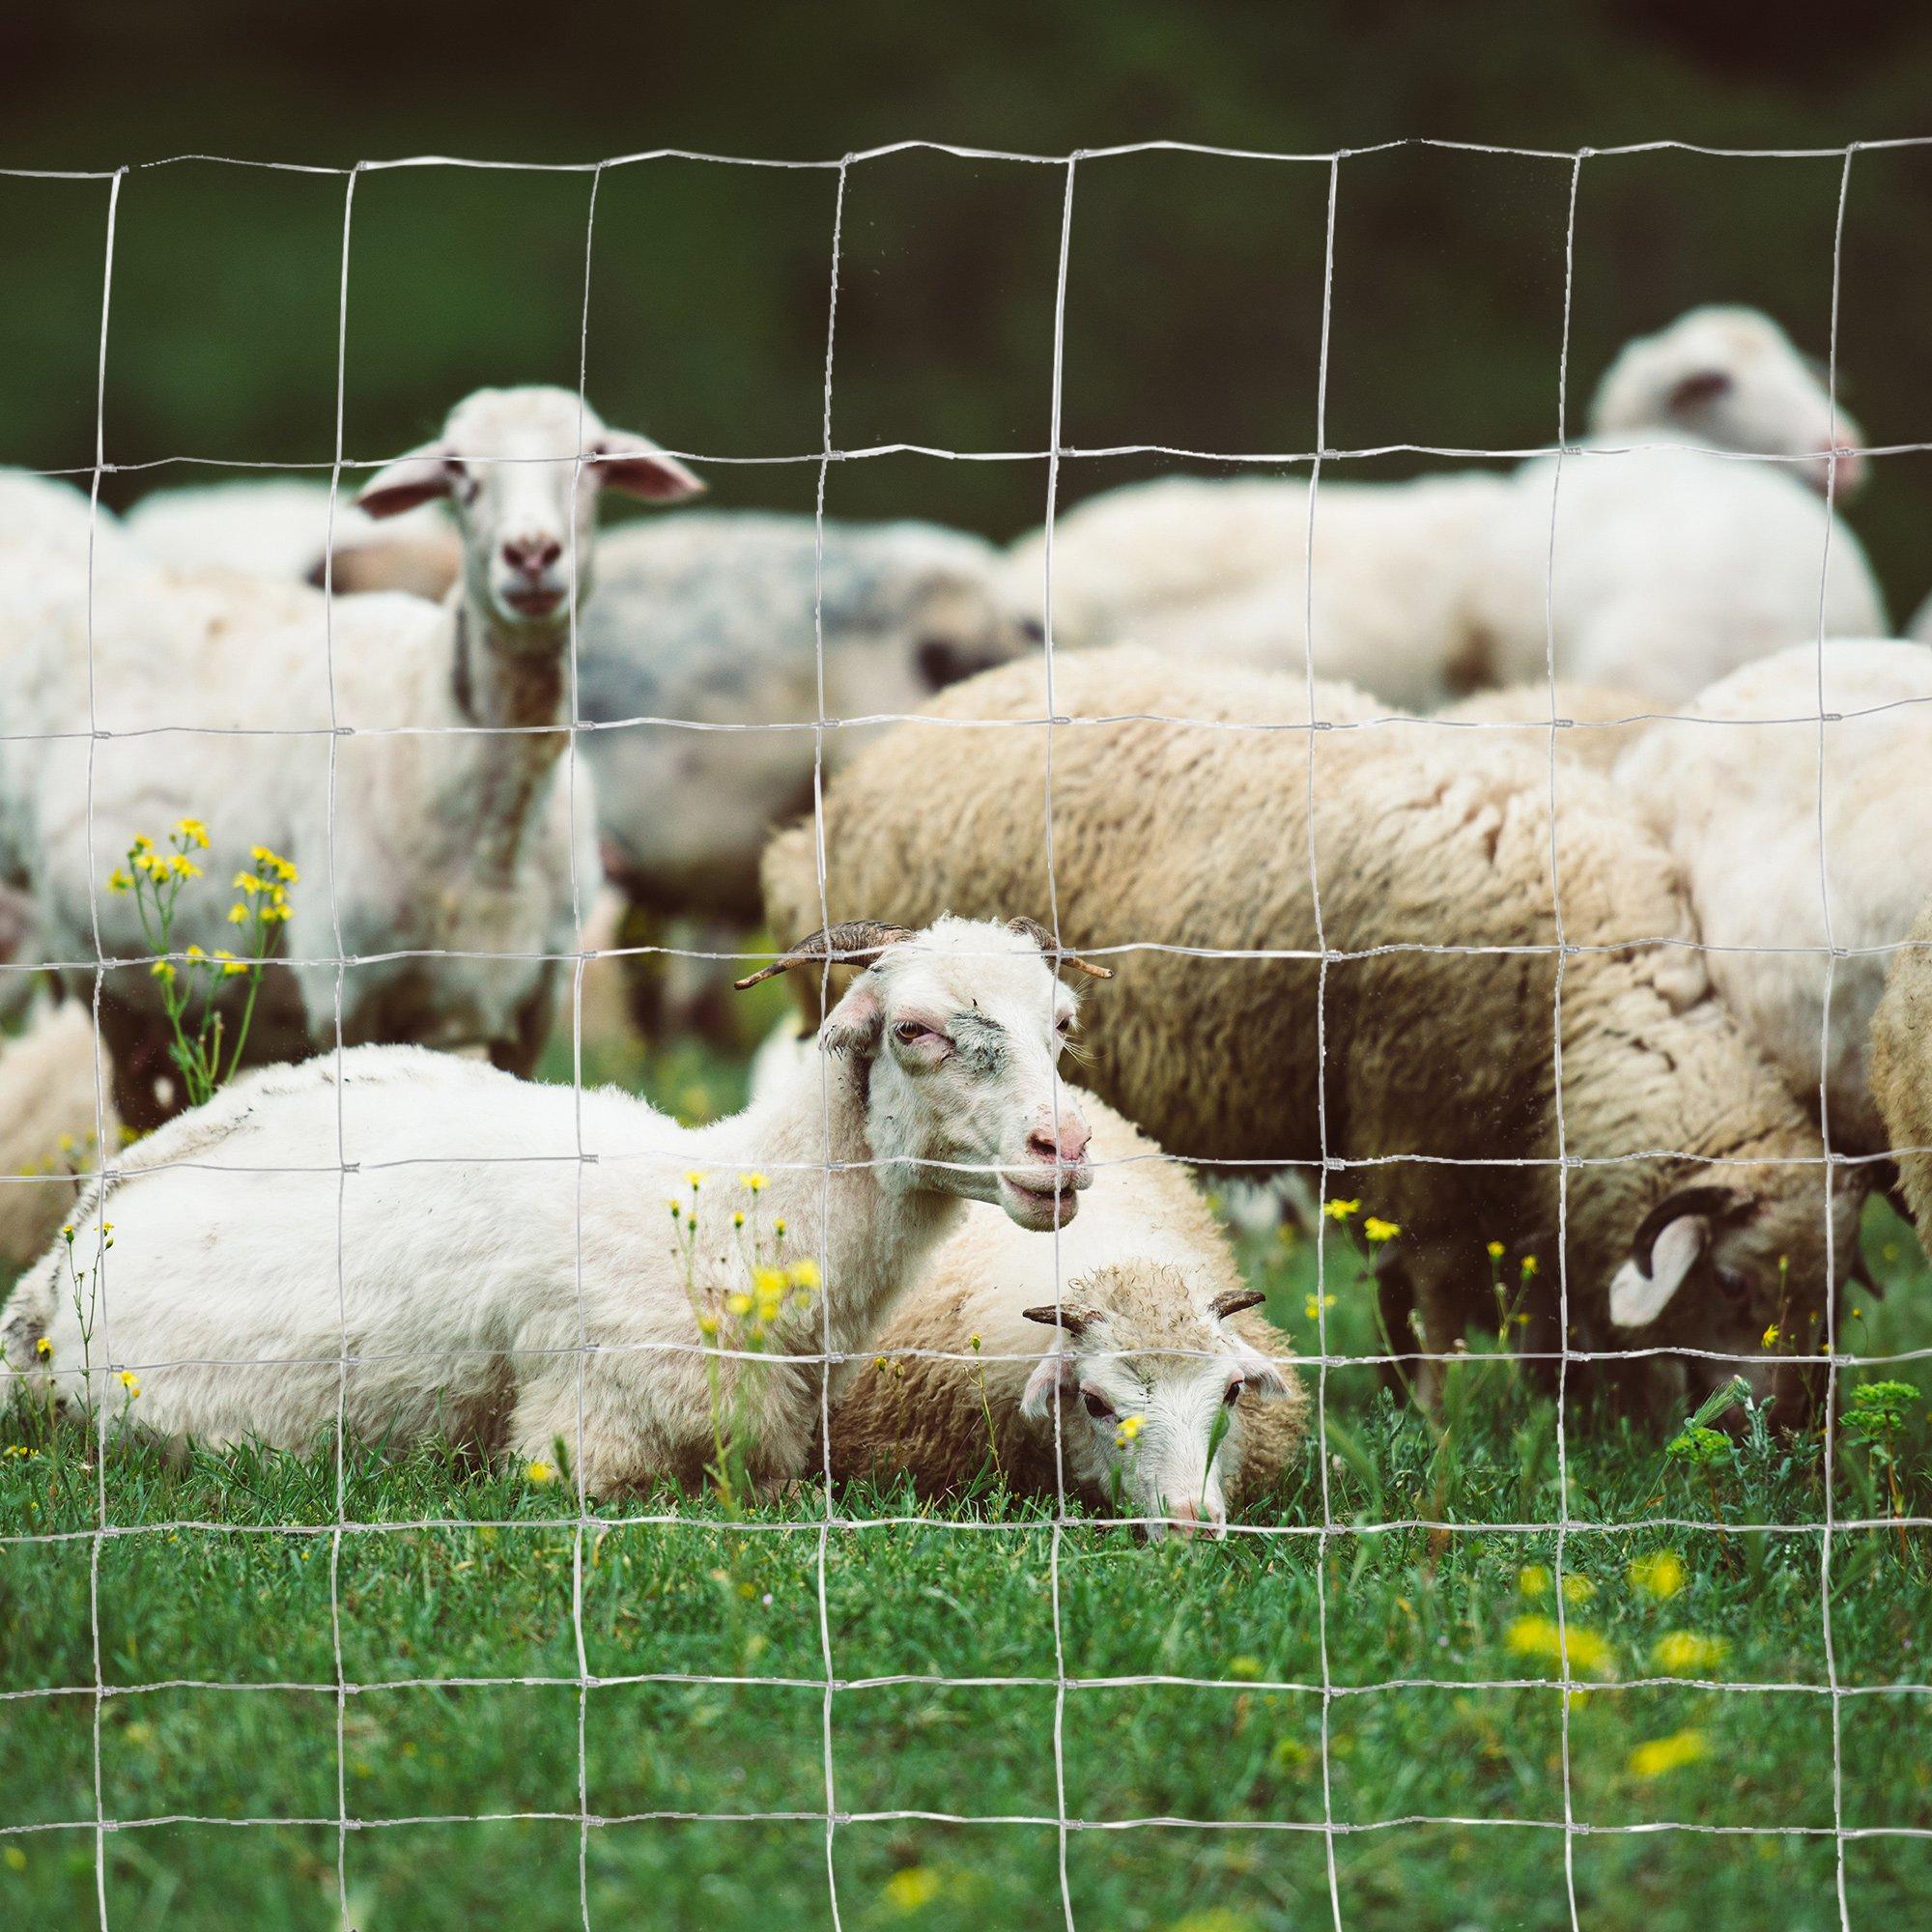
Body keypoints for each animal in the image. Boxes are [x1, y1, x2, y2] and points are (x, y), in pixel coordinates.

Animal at [0, 383, 707, 1128]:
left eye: (594, 459)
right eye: (459, 471)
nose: (532, 554)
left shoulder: (534, 1001)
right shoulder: (350, 995)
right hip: (103, 981)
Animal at [3, 920, 1105, 1492]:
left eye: (1060, 1024)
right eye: (912, 1029)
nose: (1065, 1149)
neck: (737, 1214)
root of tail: (54, 1269)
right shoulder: (589, 1443)